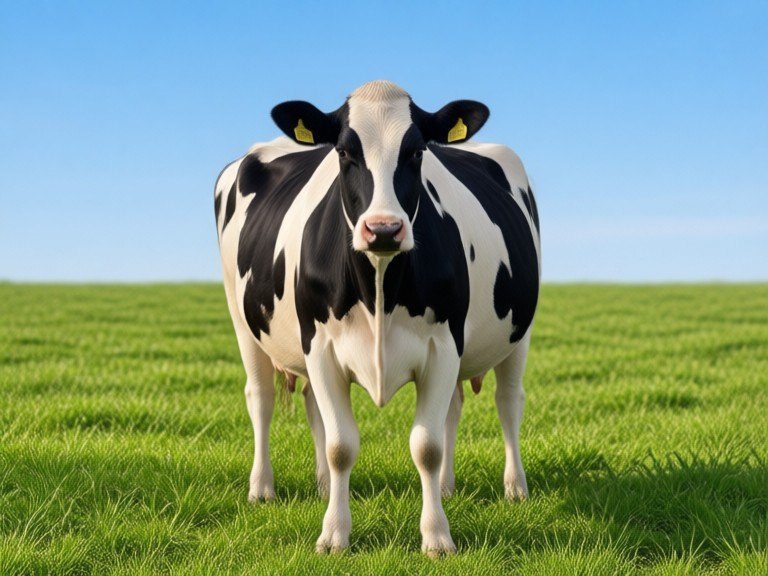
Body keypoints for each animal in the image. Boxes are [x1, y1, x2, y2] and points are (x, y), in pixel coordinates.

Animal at [214, 80, 540, 555]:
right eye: (344, 152)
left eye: (417, 151)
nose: (383, 229)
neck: (379, 287)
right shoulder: (319, 346)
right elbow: (340, 446)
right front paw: (334, 535)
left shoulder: (444, 345)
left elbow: (427, 445)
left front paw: (437, 536)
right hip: (243, 324)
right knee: (262, 398)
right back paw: (264, 489)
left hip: (520, 332)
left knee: (506, 402)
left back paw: (510, 488)